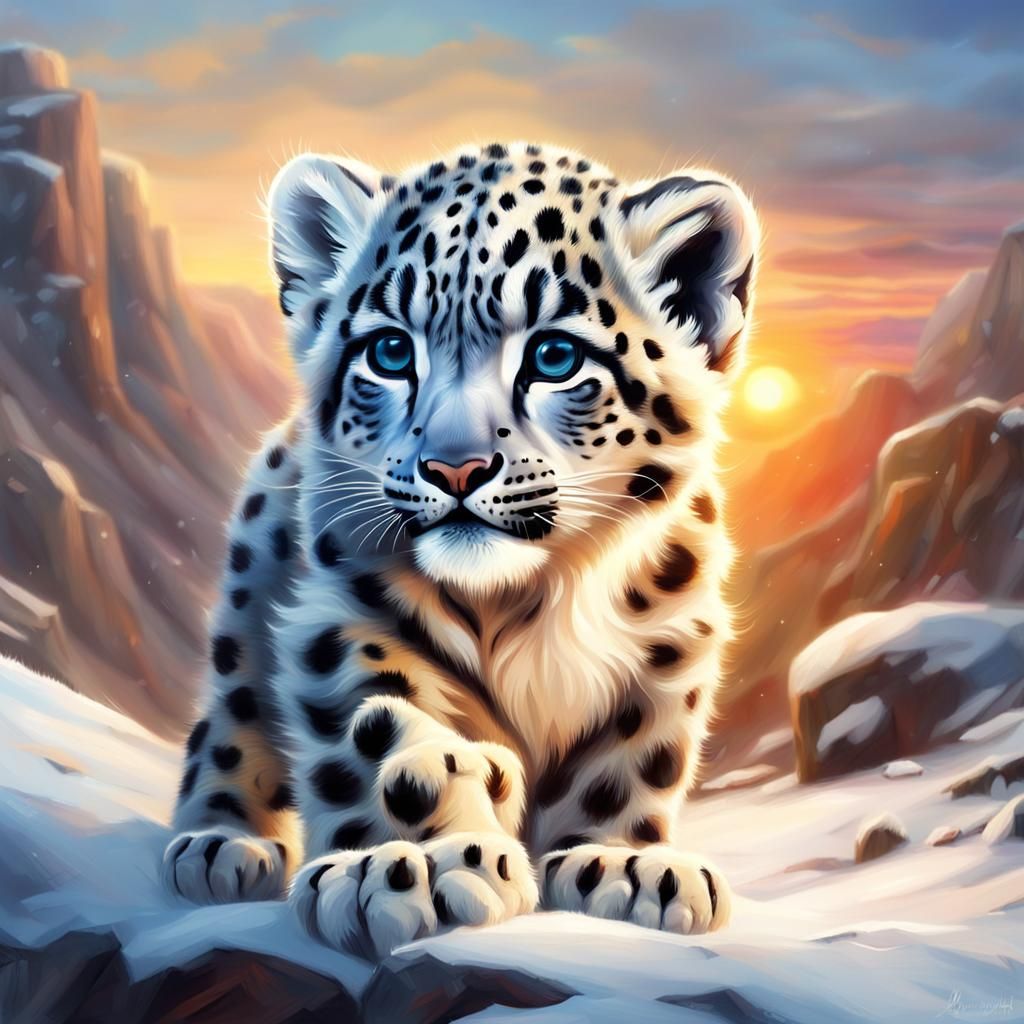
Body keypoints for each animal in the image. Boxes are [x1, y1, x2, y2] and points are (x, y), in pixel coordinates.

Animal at [161, 140, 759, 959]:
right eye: (389, 350)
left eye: (554, 356)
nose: (454, 468)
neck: (534, 598)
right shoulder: (342, 621)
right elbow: (376, 734)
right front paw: (406, 863)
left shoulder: (672, 640)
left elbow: (635, 756)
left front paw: (621, 863)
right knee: (235, 711)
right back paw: (221, 843)